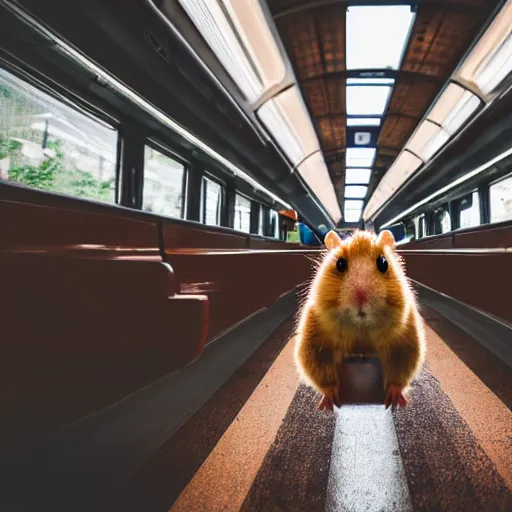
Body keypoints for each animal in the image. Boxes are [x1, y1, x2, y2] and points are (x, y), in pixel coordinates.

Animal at [294, 230, 426, 410]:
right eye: (340, 264)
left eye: (383, 263)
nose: (361, 295)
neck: (360, 326)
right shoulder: (315, 344)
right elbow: (323, 373)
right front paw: (329, 403)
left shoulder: (404, 342)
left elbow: (398, 373)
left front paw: (394, 401)